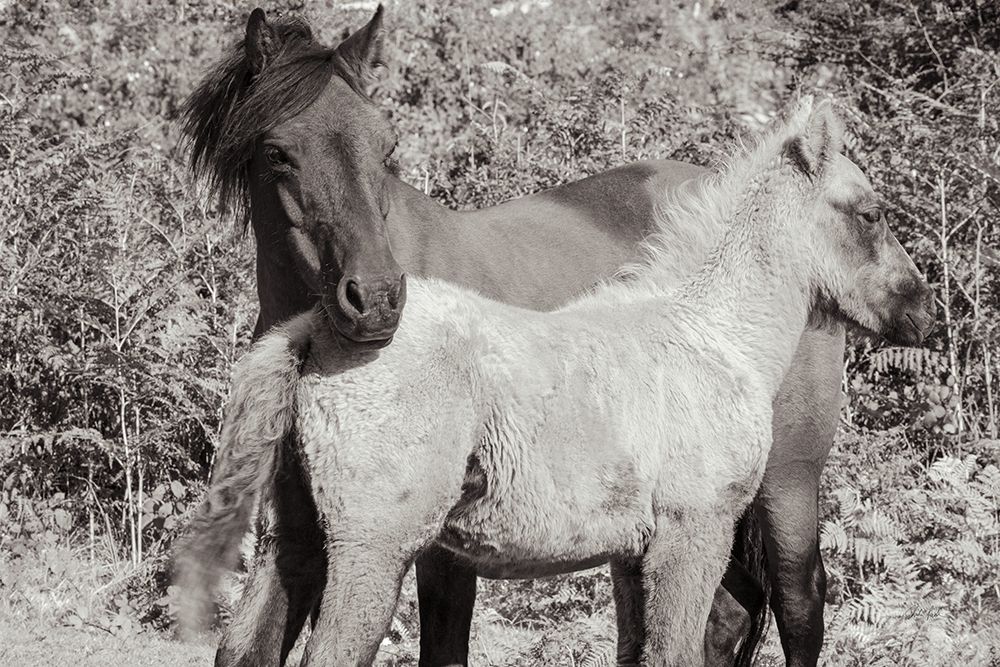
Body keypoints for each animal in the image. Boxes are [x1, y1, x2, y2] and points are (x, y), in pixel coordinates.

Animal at [180, 6, 848, 665]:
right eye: (278, 153)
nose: (375, 300)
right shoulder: (300, 530)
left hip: (786, 481)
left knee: (799, 601)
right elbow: (247, 646)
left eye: (386, 147)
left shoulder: (440, 552)